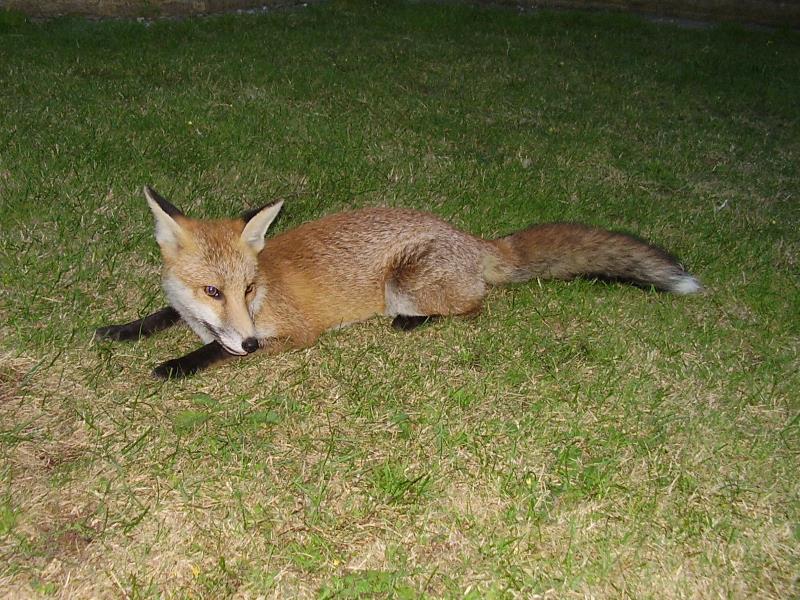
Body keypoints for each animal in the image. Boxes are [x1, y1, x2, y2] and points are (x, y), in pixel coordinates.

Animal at [95, 186, 701, 378]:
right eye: (214, 291)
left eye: (246, 289)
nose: (244, 337)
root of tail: (471, 237)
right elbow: (162, 315)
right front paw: (123, 330)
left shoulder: (294, 334)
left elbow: (217, 354)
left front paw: (177, 365)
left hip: (403, 284)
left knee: (474, 307)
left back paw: (412, 323)